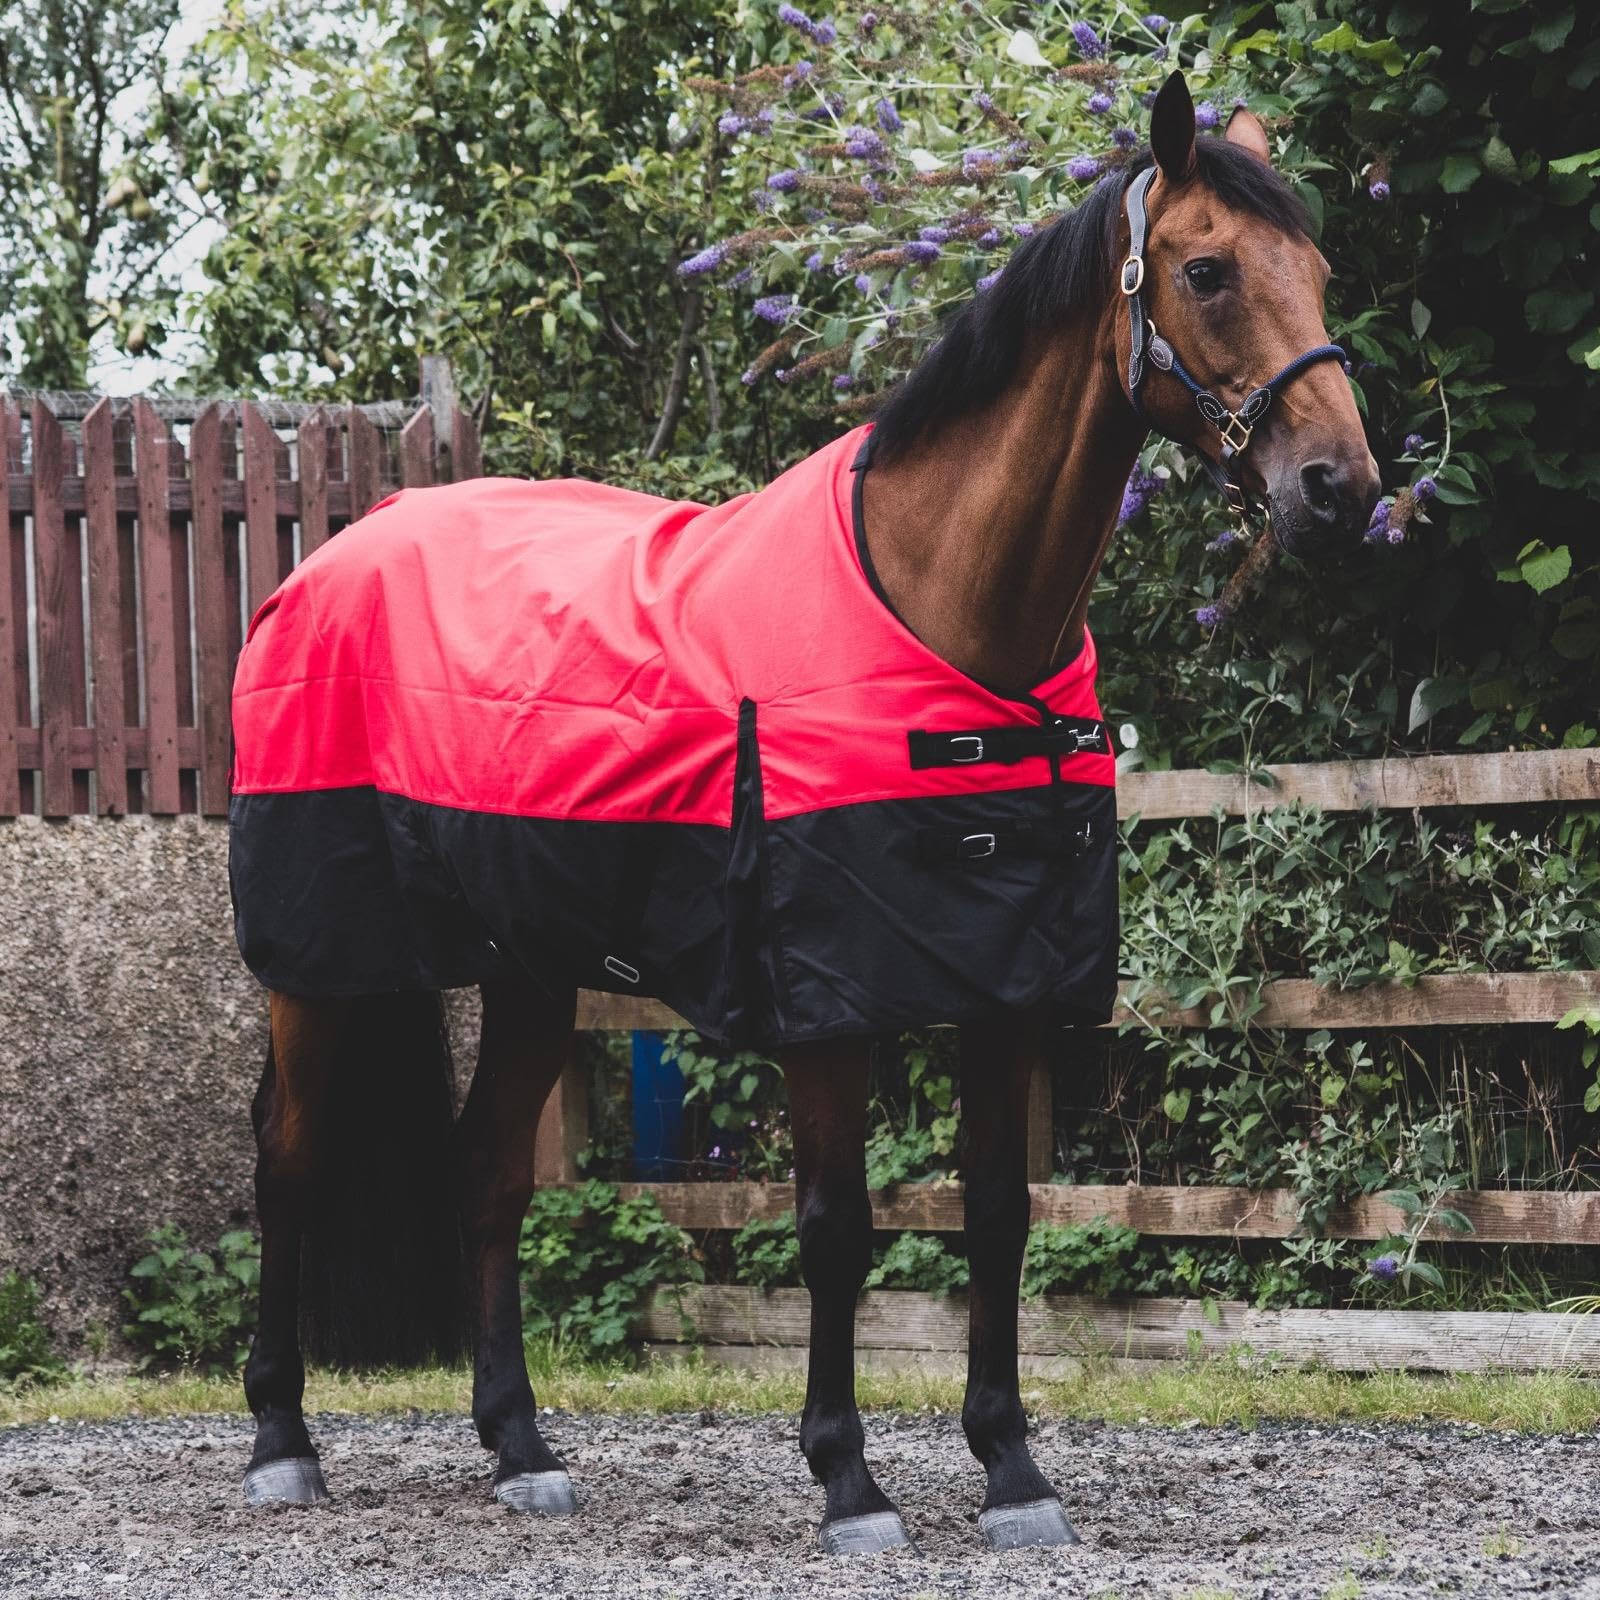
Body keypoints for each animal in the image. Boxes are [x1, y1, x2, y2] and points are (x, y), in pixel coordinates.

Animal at [230, 72, 1378, 1553]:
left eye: (1320, 269)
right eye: (1208, 271)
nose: (1341, 488)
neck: (942, 611)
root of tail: (320, 563)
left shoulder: (1004, 985)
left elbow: (998, 1212)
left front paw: (1013, 1469)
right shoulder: (827, 1000)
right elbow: (836, 1224)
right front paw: (848, 1478)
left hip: (532, 967)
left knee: (489, 1170)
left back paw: (521, 1445)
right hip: (317, 966)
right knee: (289, 1160)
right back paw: (280, 1439)